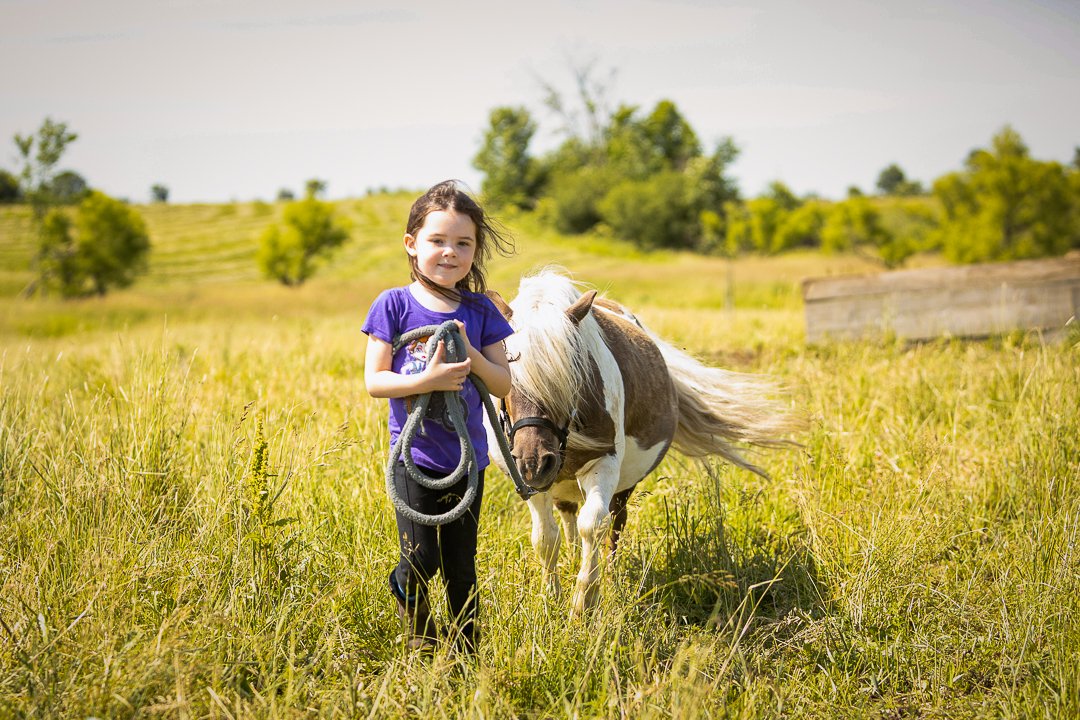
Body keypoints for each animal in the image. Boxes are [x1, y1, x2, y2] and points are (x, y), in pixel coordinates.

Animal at [484, 269, 799, 616]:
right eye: (506, 374)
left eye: (571, 377)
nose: (534, 461)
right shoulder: (532, 482)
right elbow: (545, 537)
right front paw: (550, 597)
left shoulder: (603, 465)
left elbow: (593, 525)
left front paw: (584, 601)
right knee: (567, 514)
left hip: (622, 485)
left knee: (614, 523)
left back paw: (610, 574)